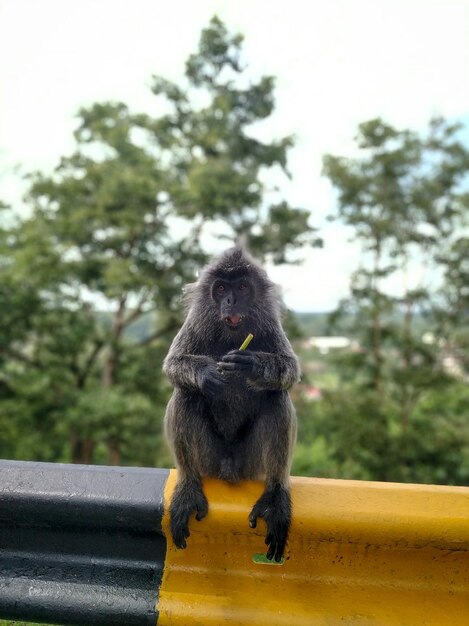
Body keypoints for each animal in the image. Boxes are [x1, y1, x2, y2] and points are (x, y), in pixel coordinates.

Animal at [163, 245, 298, 560]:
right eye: (222, 288)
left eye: (243, 288)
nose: (230, 301)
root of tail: (229, 466)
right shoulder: (197, 322)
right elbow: (173, 366)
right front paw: (207, 373)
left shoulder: (269, 326)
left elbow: (289, 370)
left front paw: (253, 366)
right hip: (210, 458)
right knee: (186, 393)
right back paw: (188, 487)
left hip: (250, 461)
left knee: (276, 395)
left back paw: (275, 497)